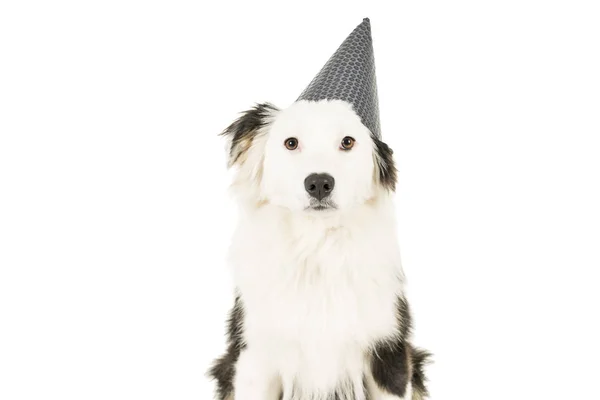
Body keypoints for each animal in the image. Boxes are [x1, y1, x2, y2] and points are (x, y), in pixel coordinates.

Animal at [209, 98, 428, 398]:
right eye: (291, 143)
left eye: (348, 141)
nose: (319, 183)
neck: (318, 246)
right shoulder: (254, 355)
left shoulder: (388, 350)